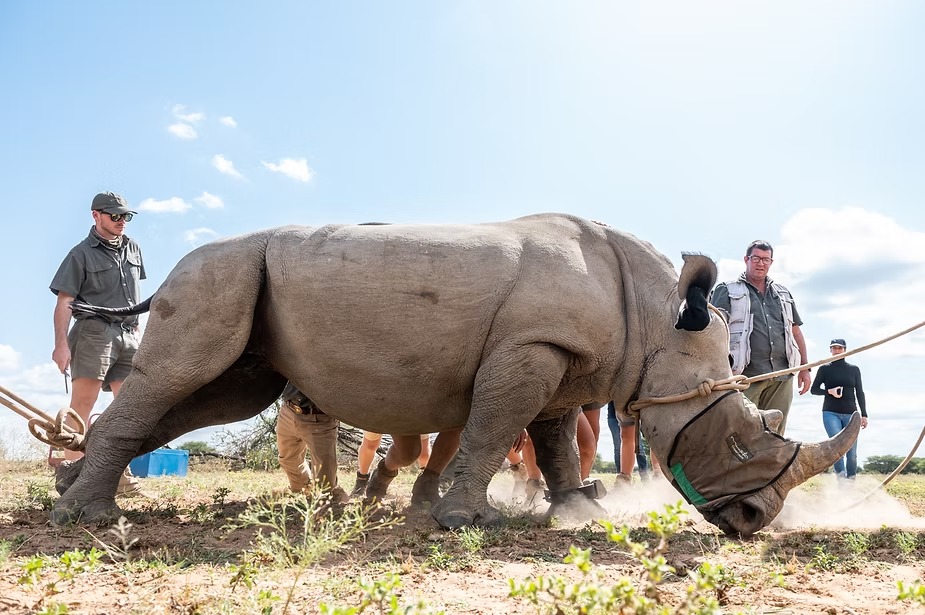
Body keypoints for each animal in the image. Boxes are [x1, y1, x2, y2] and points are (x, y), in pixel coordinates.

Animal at [52, 213, 859, 535]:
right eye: (738, 437)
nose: (753, 522)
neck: (659, 321)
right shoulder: (531, 346)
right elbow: (498, 426)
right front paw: (467, 520)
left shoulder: (558, 353)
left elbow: (552, 437)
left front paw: (577, 510)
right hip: (216, 275)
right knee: (179, 375)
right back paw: (89, 516)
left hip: (238, 285)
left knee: (211, 391)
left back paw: (71, 487)